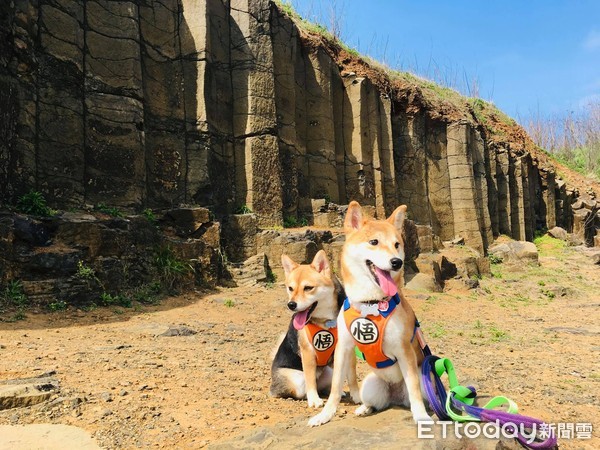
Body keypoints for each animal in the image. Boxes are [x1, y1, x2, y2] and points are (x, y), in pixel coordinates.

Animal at [270, 250, 358, 408]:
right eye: (290, 288)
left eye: (308, 288)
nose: (291, 304)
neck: (327, 321)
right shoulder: (308, 351)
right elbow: (310, 380)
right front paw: (314, 400)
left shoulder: (348, 348)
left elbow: (352, 376)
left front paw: (357, 396)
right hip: (296, 379)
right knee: (305, 387)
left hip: (329, 371)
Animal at [310, 202, 432, 428]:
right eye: (374, 242)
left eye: (397, 244)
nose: (396, 262)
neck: (371, 304)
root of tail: (396, 396)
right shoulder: (343, 348)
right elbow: (335, 387)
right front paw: (324, 415)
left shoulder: (405, 351)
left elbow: (414, 389)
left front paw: (421, 416)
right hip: (371, 384)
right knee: (376, 402)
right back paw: (365, 408)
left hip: (427, 379)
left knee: (416, 395)